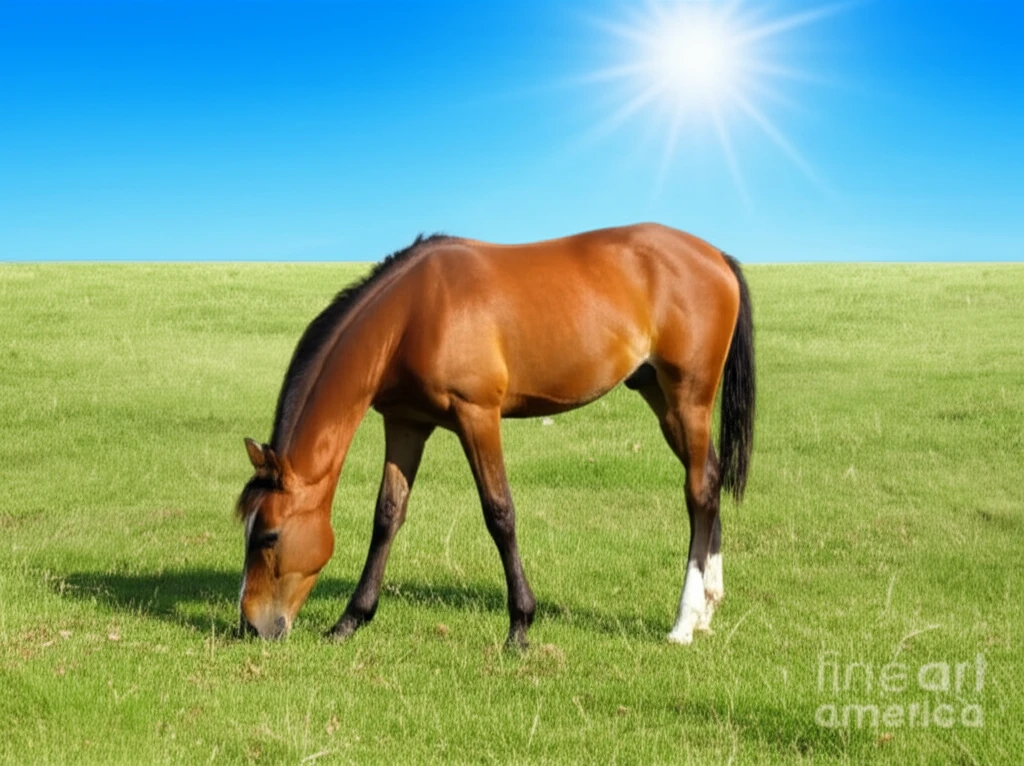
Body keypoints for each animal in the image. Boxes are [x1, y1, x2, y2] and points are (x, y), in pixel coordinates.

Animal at [236, 223, 755, 648]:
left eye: (269, 536)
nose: (251, 626)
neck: (413, 313)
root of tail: (715, 255)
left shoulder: (477, 416)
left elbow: (500, 513)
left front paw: (520, 625)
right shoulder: (406, 423)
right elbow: (387, 516)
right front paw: (350, 620)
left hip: (688, 397)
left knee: (698, 490)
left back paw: (683, 622)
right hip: (661, 397)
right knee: (709, 480)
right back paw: (707, 608)